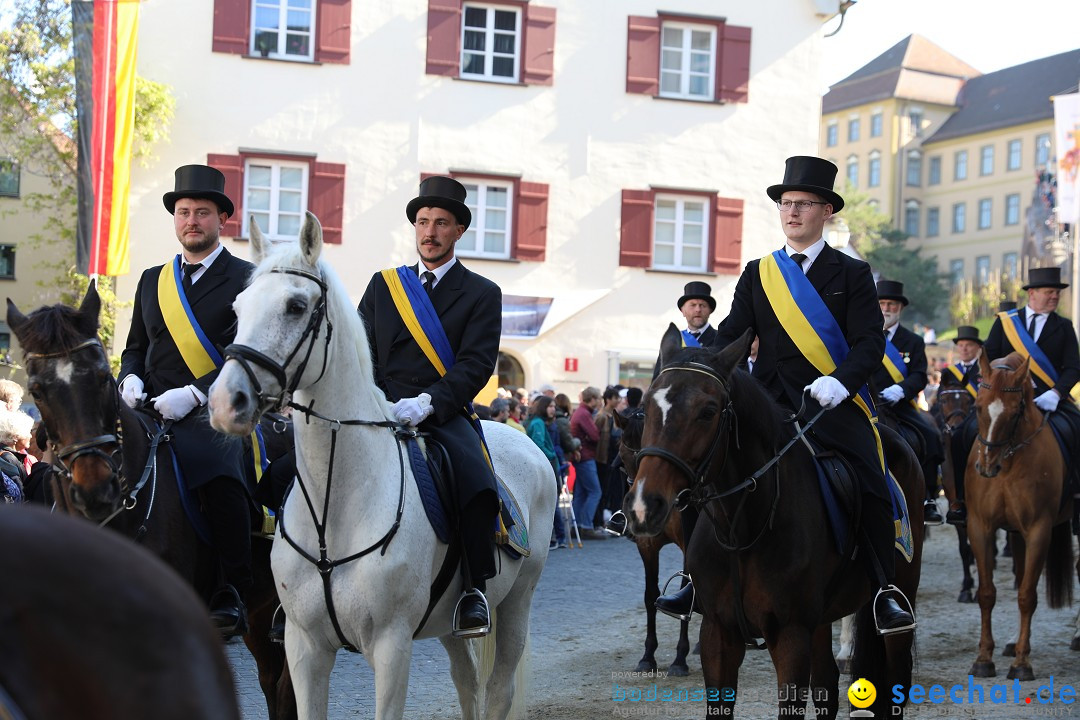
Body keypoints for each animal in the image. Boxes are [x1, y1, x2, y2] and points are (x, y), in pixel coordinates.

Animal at [206, 211, 552, 716]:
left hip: (516, 604)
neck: (336, 507)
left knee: (498, 689)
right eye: (237, 308)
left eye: (295, 306)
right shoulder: (304, 647)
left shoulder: (391, 647)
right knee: (466, 681)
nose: (224, 402)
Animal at [609, 410, 691, 677]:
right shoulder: (647, 546)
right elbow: (650, 596)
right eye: (624, 455)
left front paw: (680, 659)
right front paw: (648, 656)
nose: (640, 511)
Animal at [626, 330, 920, 716]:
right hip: (820, 620)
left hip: (898, 599)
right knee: (826, 686)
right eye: (645, 409)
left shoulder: (790, 635)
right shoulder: (718, 633)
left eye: (708, 412)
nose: (644, 506)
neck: (742, 528)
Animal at [967, 351, 1075, 677]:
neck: (1010, 462)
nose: (987, 467)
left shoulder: (1039, 529)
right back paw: (1012, 643)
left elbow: (1027, 596)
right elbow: (987, 593)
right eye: (977, 406)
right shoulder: (980, 527)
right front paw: (983, 658)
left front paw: (1022, 663)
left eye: (1015, 412)